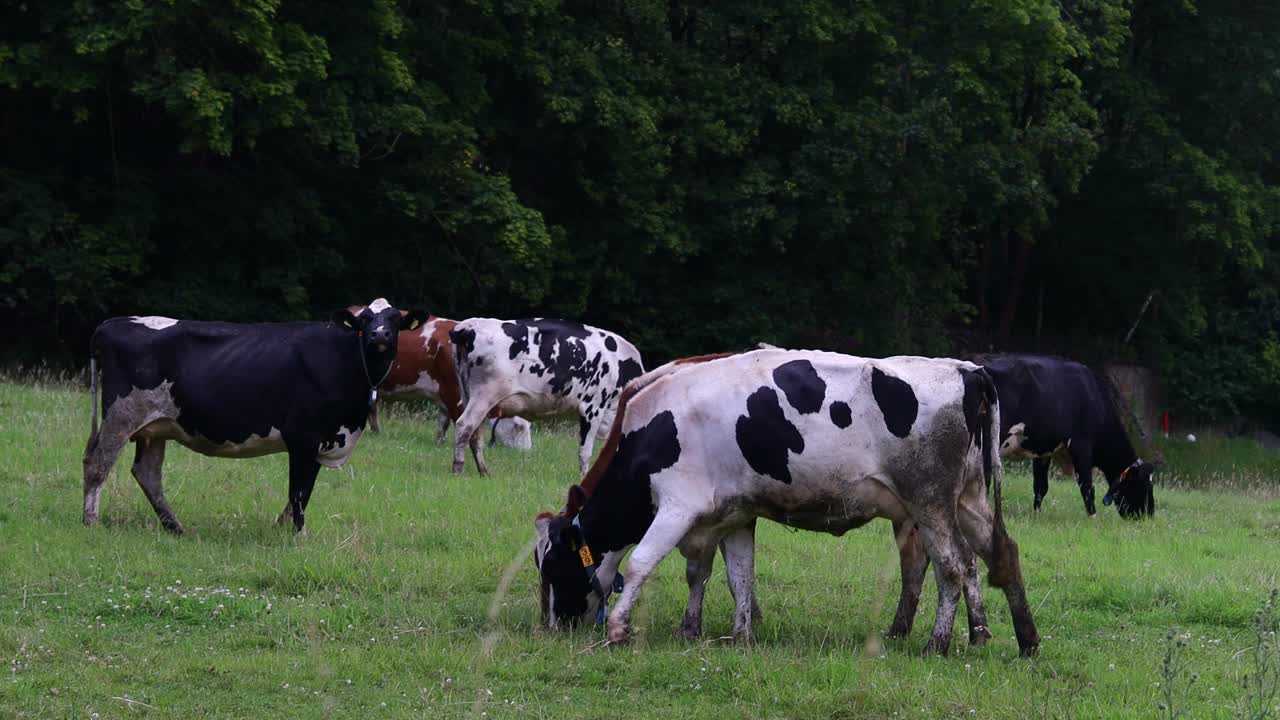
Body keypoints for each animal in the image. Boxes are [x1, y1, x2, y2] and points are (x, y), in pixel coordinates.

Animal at [83, 297, 430, 532]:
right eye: (365, 321)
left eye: (394, 320)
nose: (379, 336)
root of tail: (110, 323)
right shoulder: (303, 436)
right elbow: (298, 491)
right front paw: (298, 535)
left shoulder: (322, 439)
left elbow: (304, 491)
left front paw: (281, 528)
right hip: (121, 415)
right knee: (98, 464)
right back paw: (91, 521)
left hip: (156, 425)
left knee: (147, 473)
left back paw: (175, 527)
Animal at [453, 316, 650, 474]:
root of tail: (469, 326)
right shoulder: (592, 408)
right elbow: (585, 451)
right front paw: (584, 477)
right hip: (485, 395)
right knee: (464, 425)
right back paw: (458, 469)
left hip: (469, 396)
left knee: (475, 434)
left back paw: (484, 472)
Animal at [529, 348, 1039, 655]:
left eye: (552, 566)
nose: (550, 626)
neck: (649, 428)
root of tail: (965, 370)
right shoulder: (732, 514)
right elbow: (733, 576)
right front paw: (730, 633)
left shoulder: (677, 506)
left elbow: (639, 564)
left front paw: (618, 629)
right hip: (966, 500)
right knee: (997, 556)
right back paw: (1021, 640)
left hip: (929, 503)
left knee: (952, 566)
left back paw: (938, 643)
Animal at [972, 351, 1157, 515]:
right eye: (1145, 486)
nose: (1149, 515)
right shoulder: (1081, 445)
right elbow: (1086, 486)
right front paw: (1093, 517)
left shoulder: (1044, 449)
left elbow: (1041, 486)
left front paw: (1036, 514)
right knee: (984, 476)